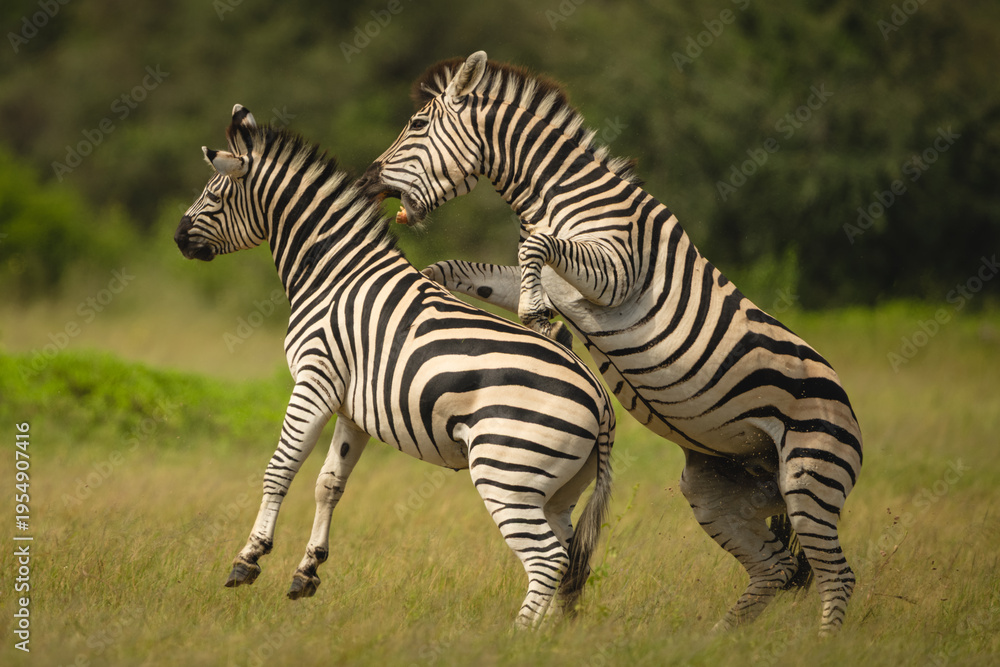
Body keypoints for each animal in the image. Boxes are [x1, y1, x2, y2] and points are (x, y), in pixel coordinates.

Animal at [173, 104, 616, 627]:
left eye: (214, 194)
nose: (178, 238)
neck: (335, 272)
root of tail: (601, 401)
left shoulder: (315, 378)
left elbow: (280, 467)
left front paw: (249, 557)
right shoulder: (352, 406)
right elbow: (330, 483)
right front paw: (308, 570)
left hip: (507, 470)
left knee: (546, 559)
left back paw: (517, 637)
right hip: (559, 490)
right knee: (567, 560)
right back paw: (549, 634)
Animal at [358, 51, 863, 636]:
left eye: (418, 125)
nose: (366, 180)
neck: (556, 193)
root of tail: (844, 397)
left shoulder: (617, 272)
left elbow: (534, 245)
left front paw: (535, 316)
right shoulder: (553, 279)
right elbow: (454, 268)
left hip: (811, 478)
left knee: (836, 574)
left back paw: (819, 644)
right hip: (722, 489)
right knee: (775, 567)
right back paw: (718, 640)